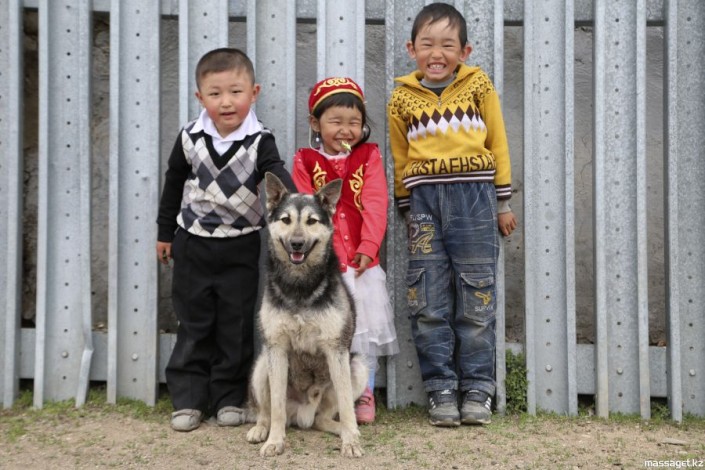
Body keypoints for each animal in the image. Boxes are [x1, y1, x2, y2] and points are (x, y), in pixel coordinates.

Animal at [246, 172, 368, 458]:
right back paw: (261, 429)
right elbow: (277, 407)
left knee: (323, 418)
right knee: (267, 412)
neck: (300, 286)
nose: (297, 244)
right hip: (262, 366)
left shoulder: (336, 350)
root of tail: (303, 413)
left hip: (357, 366)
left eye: (311, 221)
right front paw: (275, 441)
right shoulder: (276, 349)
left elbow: (346, 405)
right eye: (286, 220)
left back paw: (346, 431)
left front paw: (351, 442)